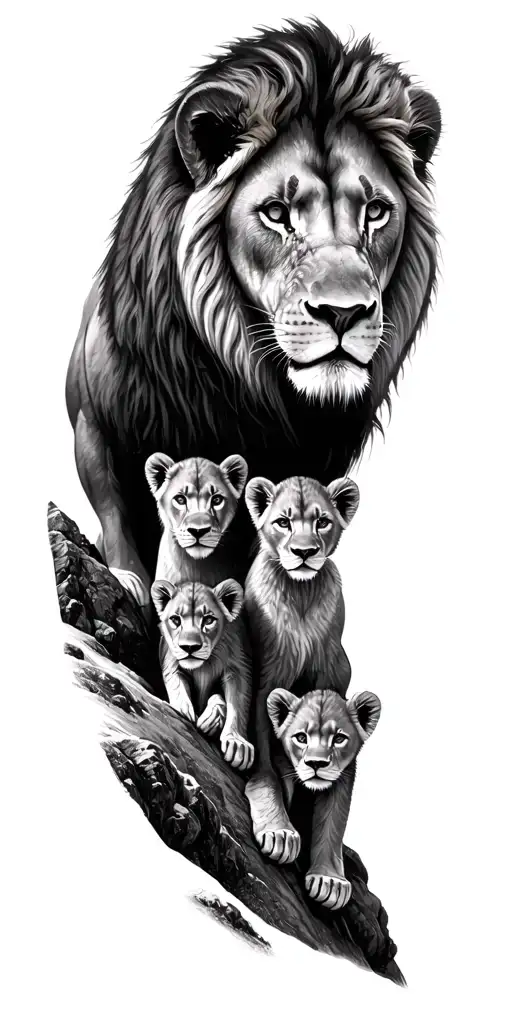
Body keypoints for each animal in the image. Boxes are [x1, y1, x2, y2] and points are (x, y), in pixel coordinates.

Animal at [151, 577, 254, 771]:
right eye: (175, 620)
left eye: (208, 620)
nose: (189, 647)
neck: (203, 667)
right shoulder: (171, 660)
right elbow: (176, 686)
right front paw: (184, 711)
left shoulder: (236, 667)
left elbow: (237, 703)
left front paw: (237, 743)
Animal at [243, 473, 359, 863]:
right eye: (283, 521)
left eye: (322, 521)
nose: (305, 552)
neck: (301, 594)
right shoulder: (265, 682)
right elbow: (264, 764)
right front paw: (278, 829)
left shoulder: (333, 683)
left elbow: (335, 800)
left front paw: (329, 871)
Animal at [267, 687, 381, 909]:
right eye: (301, 738)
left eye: (339, 739)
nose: (316, 763)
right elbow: (270, 786)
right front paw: (281, 835)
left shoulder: (344, 775)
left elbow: (333, 822)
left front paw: (329, 880)